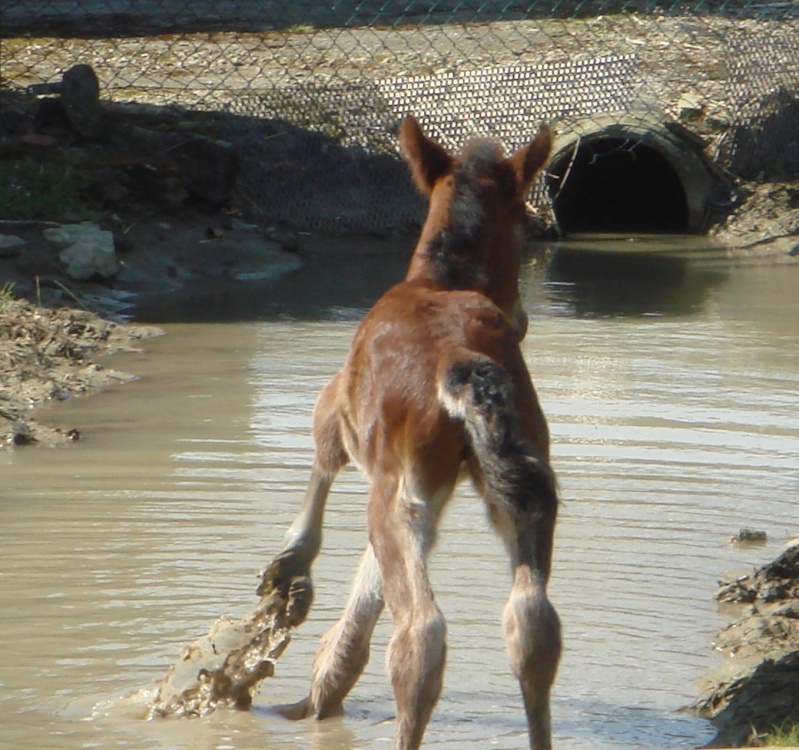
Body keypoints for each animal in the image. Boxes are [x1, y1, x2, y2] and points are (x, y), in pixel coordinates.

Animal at [262, 117, 564, 750]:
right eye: (526, 221)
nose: (522, 317)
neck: (438, 279)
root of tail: (462, 363)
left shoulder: (339, 408)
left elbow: (321, 459)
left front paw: (290, 570)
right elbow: (372, 576)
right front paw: (323, 682)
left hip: (401, 492)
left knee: (421, 637)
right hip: (525, 488)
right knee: (532, 623)